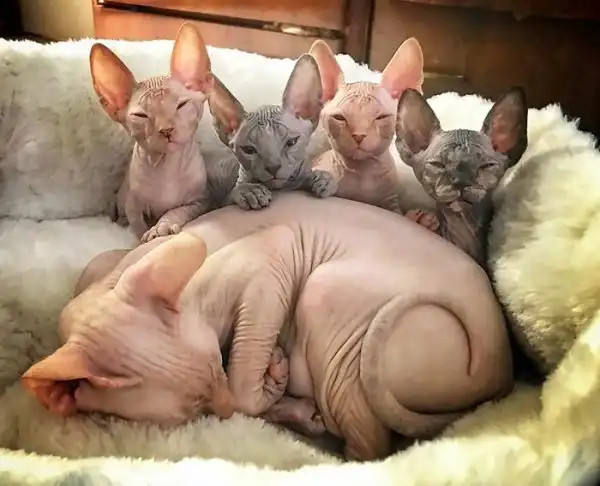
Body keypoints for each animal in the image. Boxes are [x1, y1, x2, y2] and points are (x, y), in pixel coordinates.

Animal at [90, 23, 215, 243]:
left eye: (181, 105)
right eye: (140, 115)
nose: (166, 130)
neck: (167, 167)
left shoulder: (201, 201)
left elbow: (177, 211)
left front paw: (162, 226)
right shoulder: (133, 206)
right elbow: (138, 226)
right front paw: (142, 239)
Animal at [205, 53, 331, 210]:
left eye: (291, 142)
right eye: (249, 150)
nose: (273, 167)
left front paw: (320, 178)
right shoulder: (224, 201)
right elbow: (234, 192)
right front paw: (249, 191)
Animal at [305, 37, 425, 213]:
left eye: (381, 117)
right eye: (339, 118)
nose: (358, 136)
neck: (363, 174)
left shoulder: (391, 201)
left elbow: (398, 212)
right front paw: (324, 180)